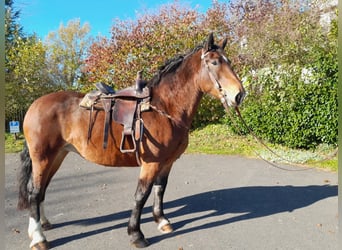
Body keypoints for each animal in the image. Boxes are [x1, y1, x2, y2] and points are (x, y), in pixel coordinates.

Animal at [17, 33, 244, 250]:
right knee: (34, 192)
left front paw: (162, 221)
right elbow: (141, 195)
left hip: (57, 156)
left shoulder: (167, 162)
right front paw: (136, 235)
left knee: (41, 189)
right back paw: (38, 238)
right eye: (214, 62)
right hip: (43, 157)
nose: (239, 95)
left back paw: (43, 224)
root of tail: (35, 105)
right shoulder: (151, 163)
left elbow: (160, 189)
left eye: (228, 61)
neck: (164, 108)